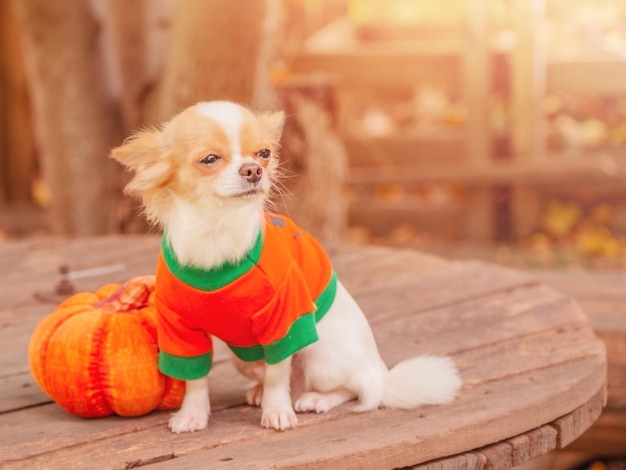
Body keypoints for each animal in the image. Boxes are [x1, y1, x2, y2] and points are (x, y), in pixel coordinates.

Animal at [111, 102, 458, 434]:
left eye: (264, 154)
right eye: (209, 159)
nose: (253, 170)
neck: (217, 231)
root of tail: (379, 370)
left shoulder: (284, 322)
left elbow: (278, 374)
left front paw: (277, 412)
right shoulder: (180, 330)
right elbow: (196, 379)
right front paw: (192, 415)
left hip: (321, 355)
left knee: (354, 390)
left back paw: (315, 399)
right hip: (244, 359)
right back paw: (261, 392)